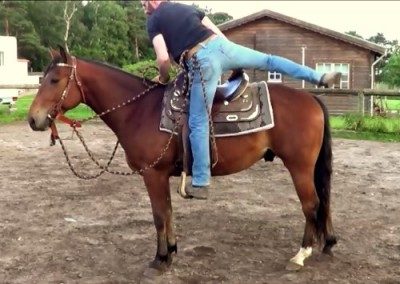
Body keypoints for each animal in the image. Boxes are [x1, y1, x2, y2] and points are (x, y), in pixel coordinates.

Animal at [27, 47, 338, 274]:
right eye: (42, 78)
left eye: (54, 80)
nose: (33, 119)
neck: (140, 110)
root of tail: (312, 99)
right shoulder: (161, 175)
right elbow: (168, 212)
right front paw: (171, 253)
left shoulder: (153, 174)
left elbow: (158, 215)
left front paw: (159, 260)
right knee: (323, 201)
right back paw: (327, 243)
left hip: (299, 166)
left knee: (312, 204)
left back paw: (300, 255)